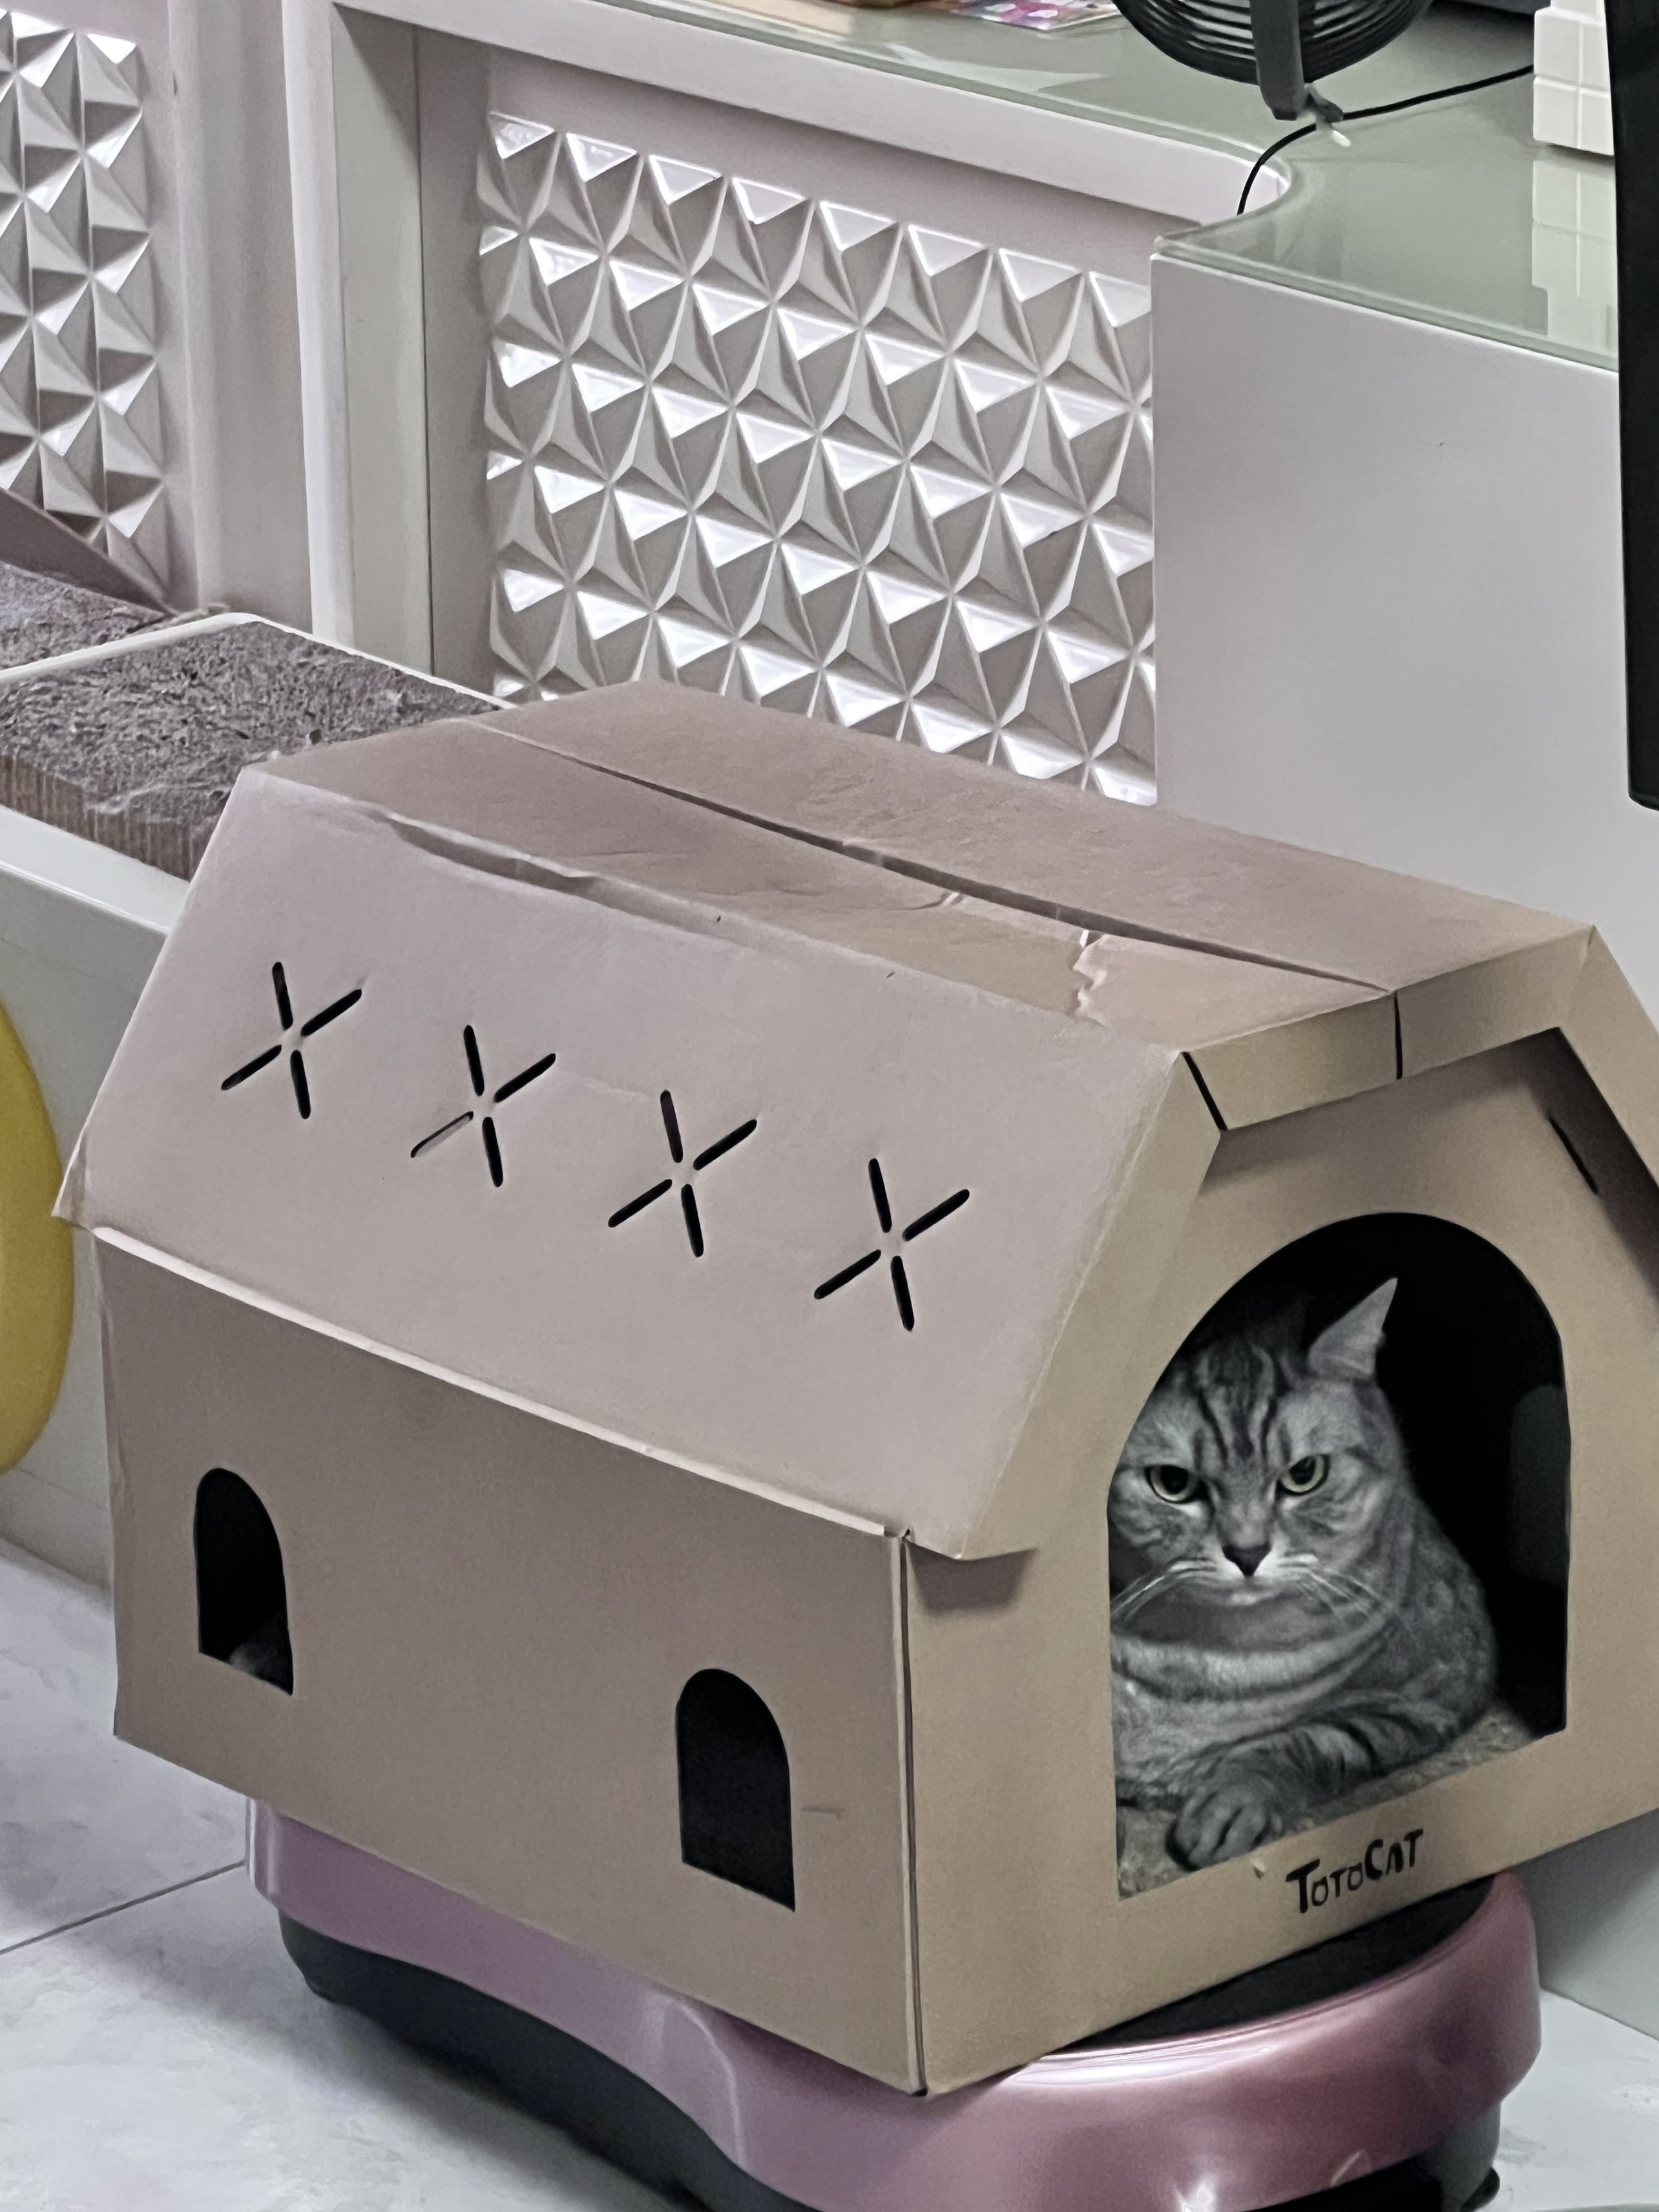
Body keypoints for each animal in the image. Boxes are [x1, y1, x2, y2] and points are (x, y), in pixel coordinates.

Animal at [1109, 1279, 1495, 1869]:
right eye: (1172, 1483)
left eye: (1305, 1474)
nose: (1247, 1552)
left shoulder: (1434, 1690)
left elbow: (1317, 1740)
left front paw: (1235, 1799)